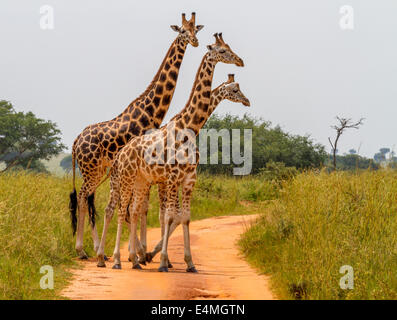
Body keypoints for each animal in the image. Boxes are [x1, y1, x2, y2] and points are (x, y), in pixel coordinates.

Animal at [67, 11, 203, 260]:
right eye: (182, 30)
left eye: (195, 30)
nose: (195, 41)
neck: (149, 113)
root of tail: (75, 143)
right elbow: (136, 207)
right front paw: (139, 252)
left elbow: (139, 207)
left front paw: (140, 251)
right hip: (92, 169)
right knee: (82, 197)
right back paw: (82, 250)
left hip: (96, 171)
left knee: (88, 198)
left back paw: (95, 249)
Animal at [100, 33, 246, 272]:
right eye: (222, 50)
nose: (240, 61)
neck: (189, 126)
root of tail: (122, 153)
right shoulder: (169, 178)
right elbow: (168, 216)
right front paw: (161, 261)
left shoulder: (187, 178)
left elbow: (183, 217)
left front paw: (188, 262)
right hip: (125, 180)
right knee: (119, 210)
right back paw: (114, 259)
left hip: (140, 181)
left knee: (133, 210)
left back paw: (133, 258)